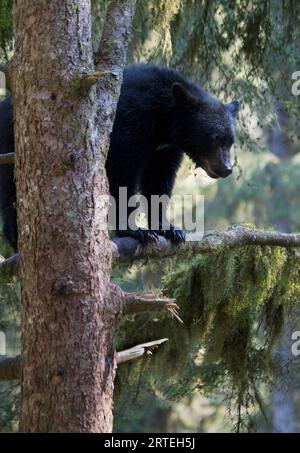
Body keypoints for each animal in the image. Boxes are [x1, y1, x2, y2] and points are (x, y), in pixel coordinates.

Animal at [0, 65, 239, 251]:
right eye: (214, 138)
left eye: (230, 141)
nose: (226, 168)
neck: (163, 124)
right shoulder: (128, 126)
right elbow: (121, 175)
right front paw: (135, 231)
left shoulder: (165, 150)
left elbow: (158, 182)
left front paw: (169, 229)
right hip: (12, 147)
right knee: (13, 194)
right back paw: (17, 240)